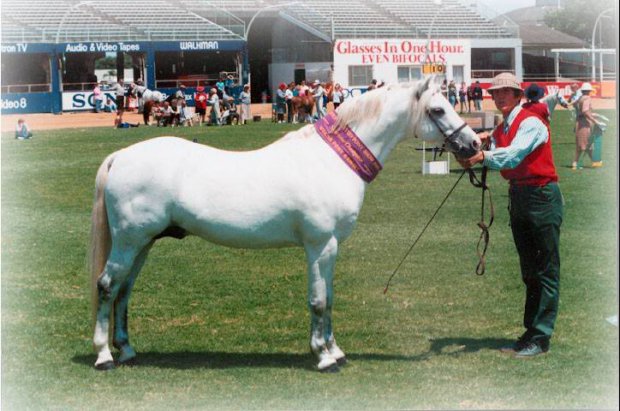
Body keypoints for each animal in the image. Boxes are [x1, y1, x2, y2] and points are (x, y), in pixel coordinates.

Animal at [89, 77, 482, 374]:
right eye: (437, 109)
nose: (474, 144)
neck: (331, 161)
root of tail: (120, 157)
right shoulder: (319, 244)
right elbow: (318, 300)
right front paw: (323, 358)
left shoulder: (331, 247)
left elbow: (330, 298)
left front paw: (335, 351)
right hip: (129, 242)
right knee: (107, 286)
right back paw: (104, 356)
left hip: (143, 243)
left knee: (124, 291)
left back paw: (127, 351)